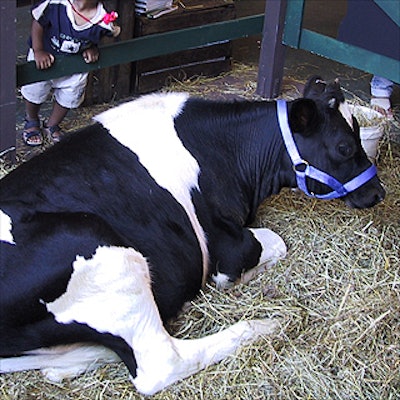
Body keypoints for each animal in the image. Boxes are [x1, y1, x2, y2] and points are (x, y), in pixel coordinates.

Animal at [0, 76, 384, 396]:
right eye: (344, 147)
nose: (379, 192)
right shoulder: (230, 247)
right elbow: (274, 244)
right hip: (106, 256)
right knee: (162, 363)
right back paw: (264, 326)